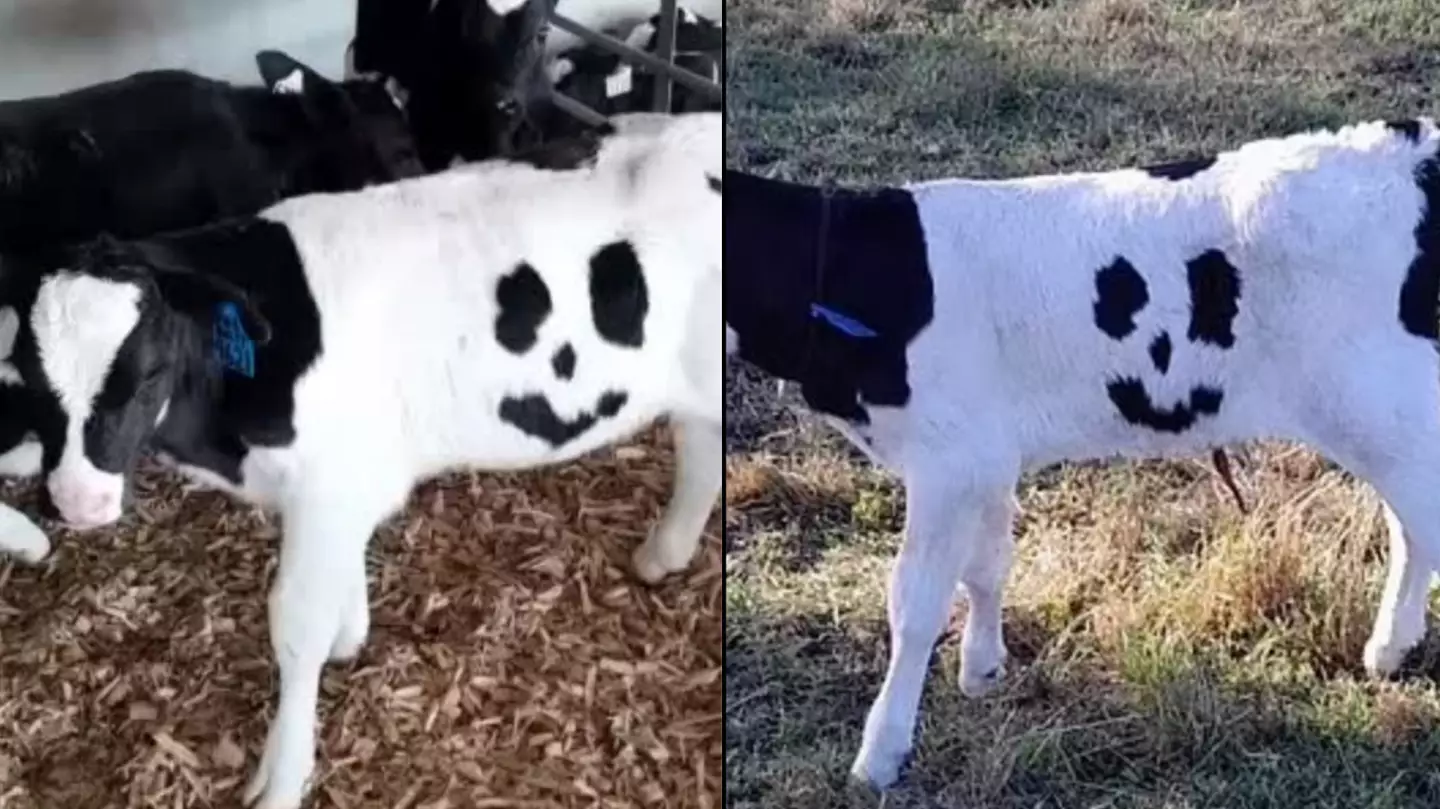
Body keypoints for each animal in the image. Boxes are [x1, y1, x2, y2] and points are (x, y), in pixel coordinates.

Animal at [0, 111, 720, 806]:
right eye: (28, 374)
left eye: (149, 372)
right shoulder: (338, 491)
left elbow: (295, 623)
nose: (78, 499)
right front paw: (350, 634)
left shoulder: (328, 488)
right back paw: (663, 554)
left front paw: (283, 778)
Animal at [725, 118, 1440, 788]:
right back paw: (1388, 650)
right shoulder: (985, 455)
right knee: (1411, 532)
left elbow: (915, 602)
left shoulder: (946, 461)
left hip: (1388, 416)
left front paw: (880, 754)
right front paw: (982, 669)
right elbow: (986, 565)